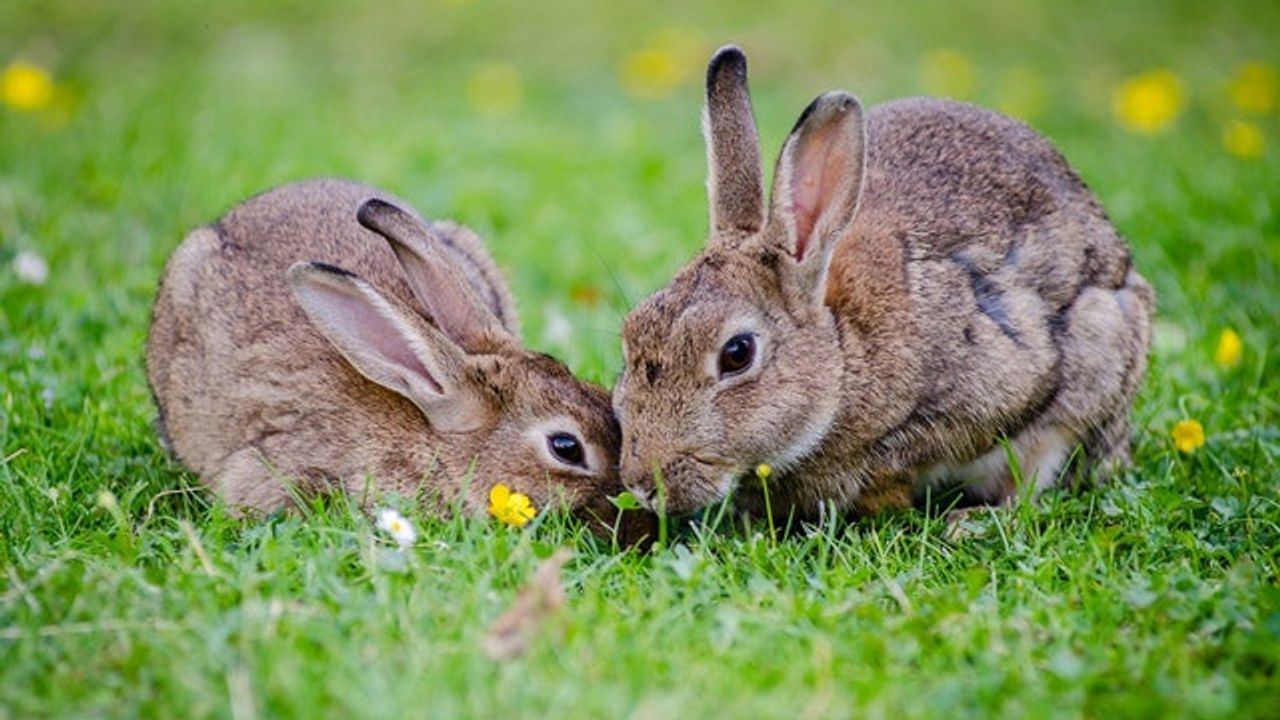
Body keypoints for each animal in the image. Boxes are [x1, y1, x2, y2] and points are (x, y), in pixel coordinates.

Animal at [614, 47, 1157, 517]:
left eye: (737, 353)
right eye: (630, 335)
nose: (642, 484)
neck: (842, 354)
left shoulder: (997, 384)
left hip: (1098, 352)